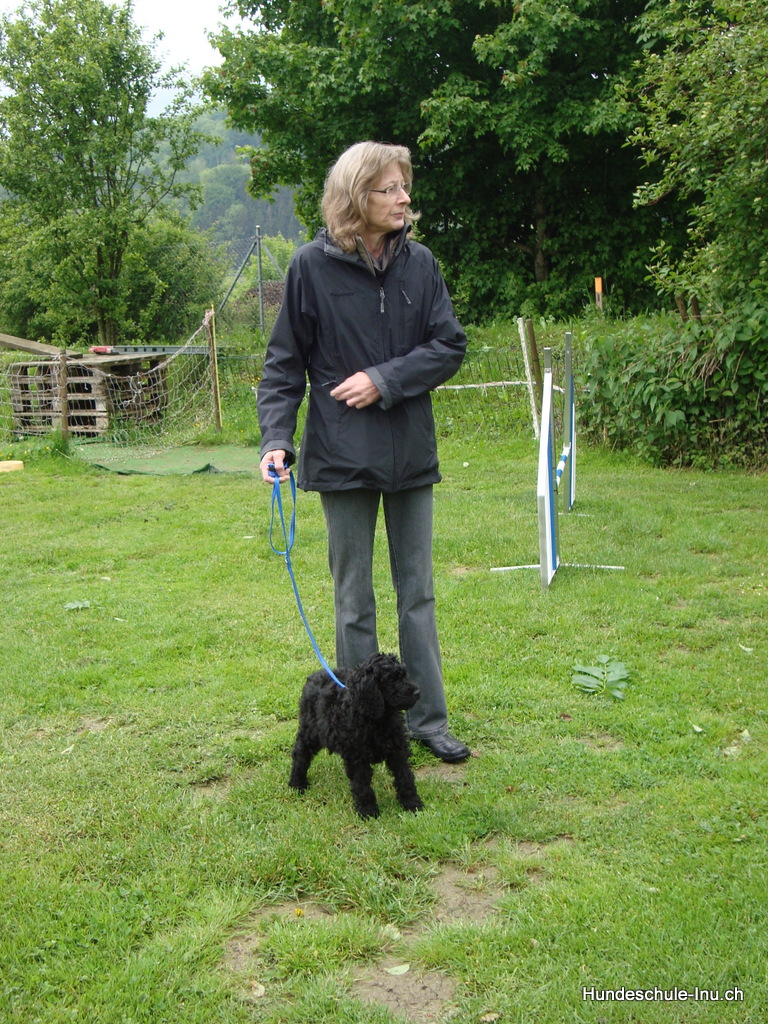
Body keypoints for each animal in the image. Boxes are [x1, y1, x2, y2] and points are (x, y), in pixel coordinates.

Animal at [289, 652, 424, 819]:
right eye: (391, 679)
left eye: (404, 675)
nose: (417, 692)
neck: (377, 718)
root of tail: (314, 675)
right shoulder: (357, 756)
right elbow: (362, 785)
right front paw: (368, 811)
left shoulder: (397, 750)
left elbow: (405, 776)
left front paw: (412, 803)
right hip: (310, 731)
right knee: (301, 754)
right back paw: (297, 784)